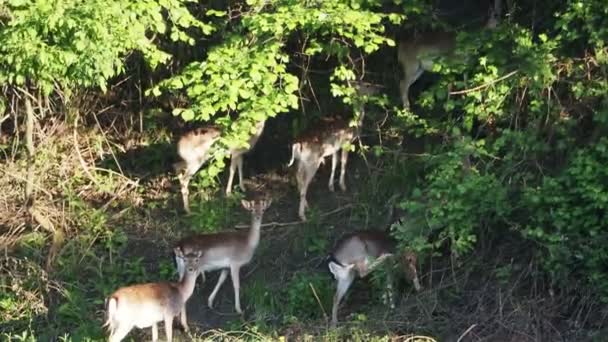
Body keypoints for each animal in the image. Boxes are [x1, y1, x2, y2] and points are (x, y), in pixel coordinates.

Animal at [288, 83, 378, 222]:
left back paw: (306, 206)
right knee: (304, 183)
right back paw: (303, 215)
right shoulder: (346, 142)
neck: (354, 123)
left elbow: (335, 163)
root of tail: (296, 144)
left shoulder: (335, 148)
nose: (377, 89)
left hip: (300, 161)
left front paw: (331, 187)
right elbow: (344, 163)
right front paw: (343, 186)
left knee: (298, 178)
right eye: (367, 85)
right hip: (312, 161)